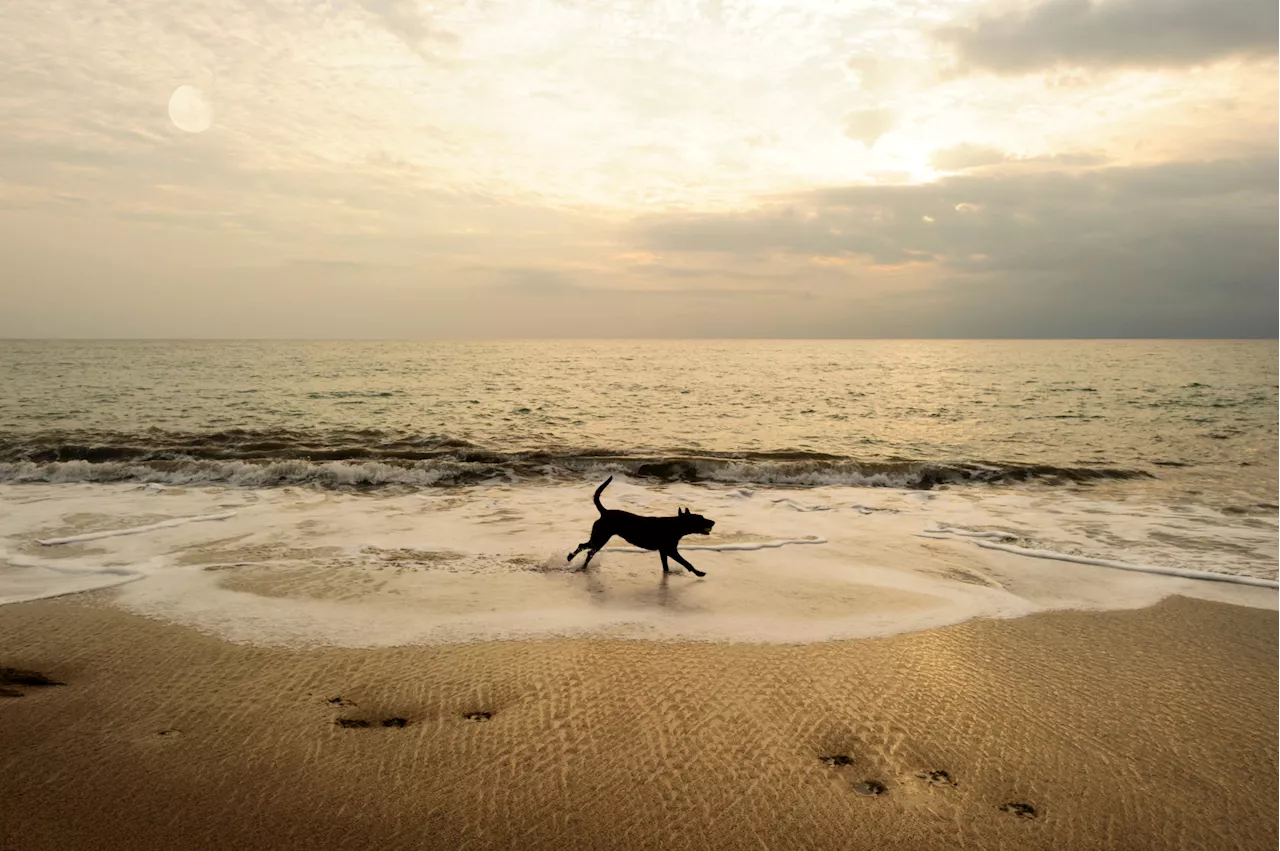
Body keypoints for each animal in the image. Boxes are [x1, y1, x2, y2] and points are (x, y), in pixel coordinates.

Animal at [565, 473, 716, 573]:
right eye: (701, 518)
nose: (713, 521)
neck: (675, 526)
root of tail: (605, 512)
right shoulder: (671, 550)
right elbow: (686, 562)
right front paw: (698, 572)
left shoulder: (663, 551)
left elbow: (665, 566)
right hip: (601, 537)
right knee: (585, 548)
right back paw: (573, 559)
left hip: (599, 537)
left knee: (587, 549)